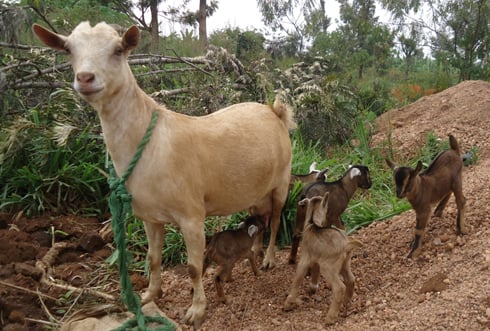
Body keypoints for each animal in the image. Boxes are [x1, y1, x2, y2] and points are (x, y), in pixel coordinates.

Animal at [34, 22, 296, 328]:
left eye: (118, 50)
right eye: (68, 49)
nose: (85, 78)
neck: (150, 143)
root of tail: (274, 111)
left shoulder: (192, 216)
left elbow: (193, 267)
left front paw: (196, 310)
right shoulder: (149, 216)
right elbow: (153, 257)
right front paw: (150, 295)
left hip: (282, 181)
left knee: (276, 219)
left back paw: (268, 259)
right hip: (254, 190)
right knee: (260, 220)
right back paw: (255, 251)